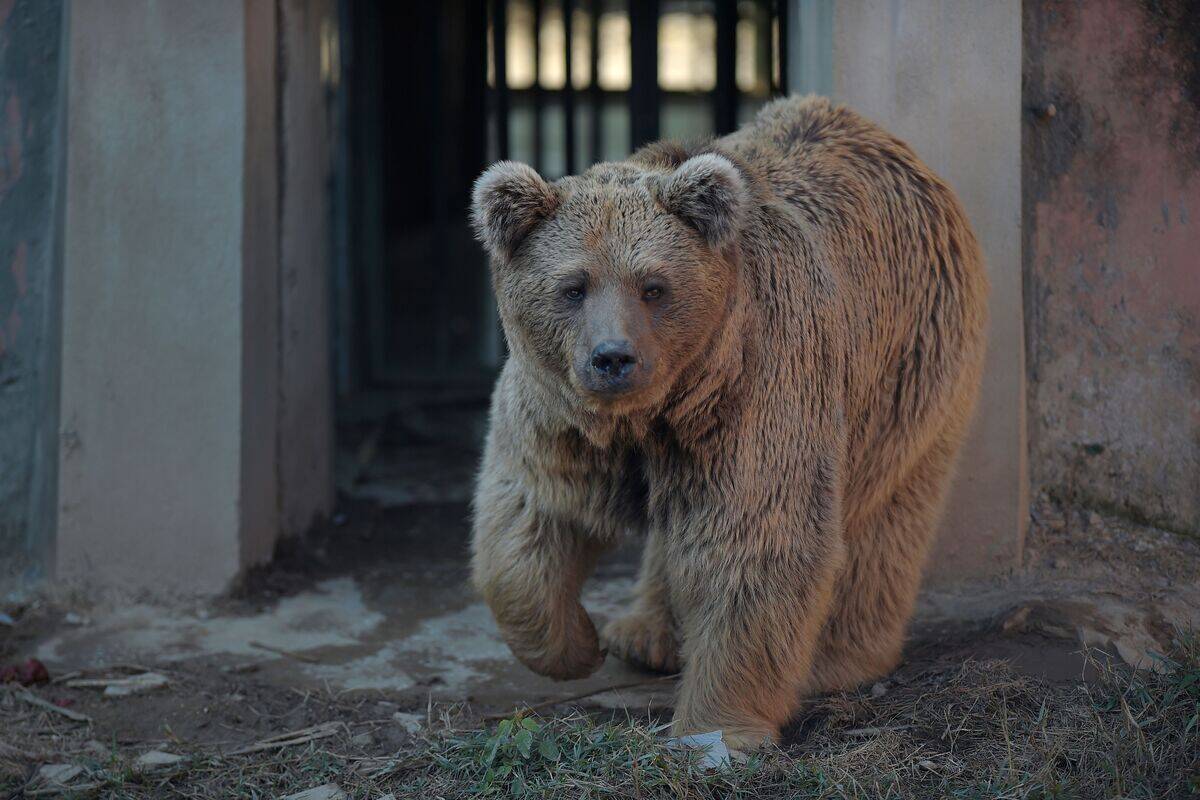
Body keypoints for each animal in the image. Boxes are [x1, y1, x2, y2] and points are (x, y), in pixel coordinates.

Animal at [469, 95, 988, 751]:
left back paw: (839, 658)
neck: (654, 412)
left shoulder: (757, 387)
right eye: (573, 286)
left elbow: (753, 534)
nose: (613, 358)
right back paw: (642, 633)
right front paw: (578, 644)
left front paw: (716, 728)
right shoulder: (561, 413)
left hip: (910, 367)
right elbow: (531, 515)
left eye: (653, 285)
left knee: (886, 513)